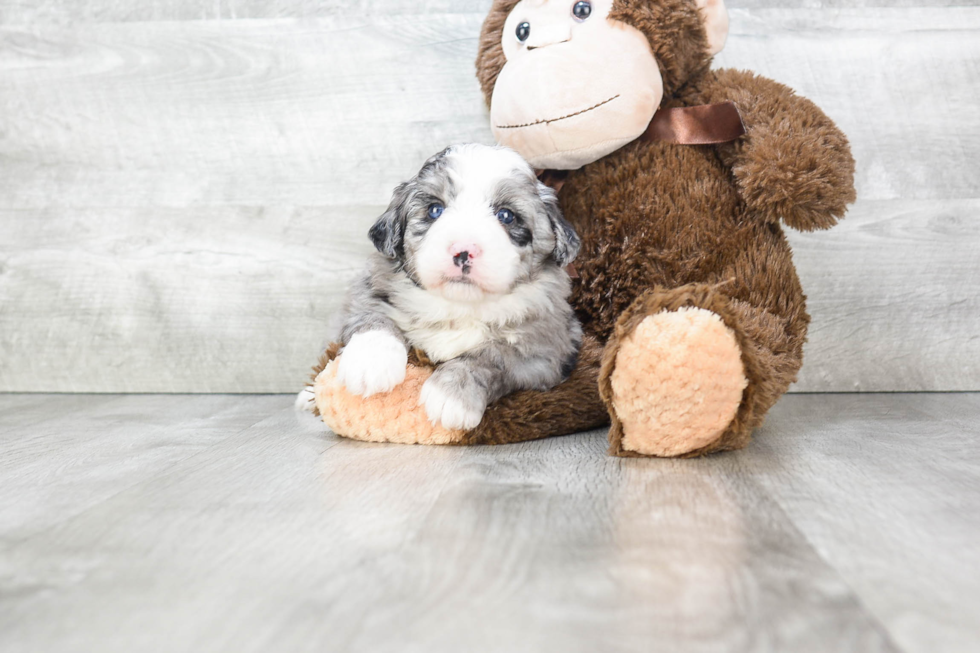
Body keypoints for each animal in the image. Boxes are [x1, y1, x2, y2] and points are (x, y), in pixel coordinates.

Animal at [314, 146, 580, 432]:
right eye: (434, 210)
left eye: (506, 215)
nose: (463, 250)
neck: (457, 306)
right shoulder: (367, 290)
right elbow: (372, 317)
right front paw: (370, 362)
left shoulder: (544, 351)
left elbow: (493, 355)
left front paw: (453, 394)